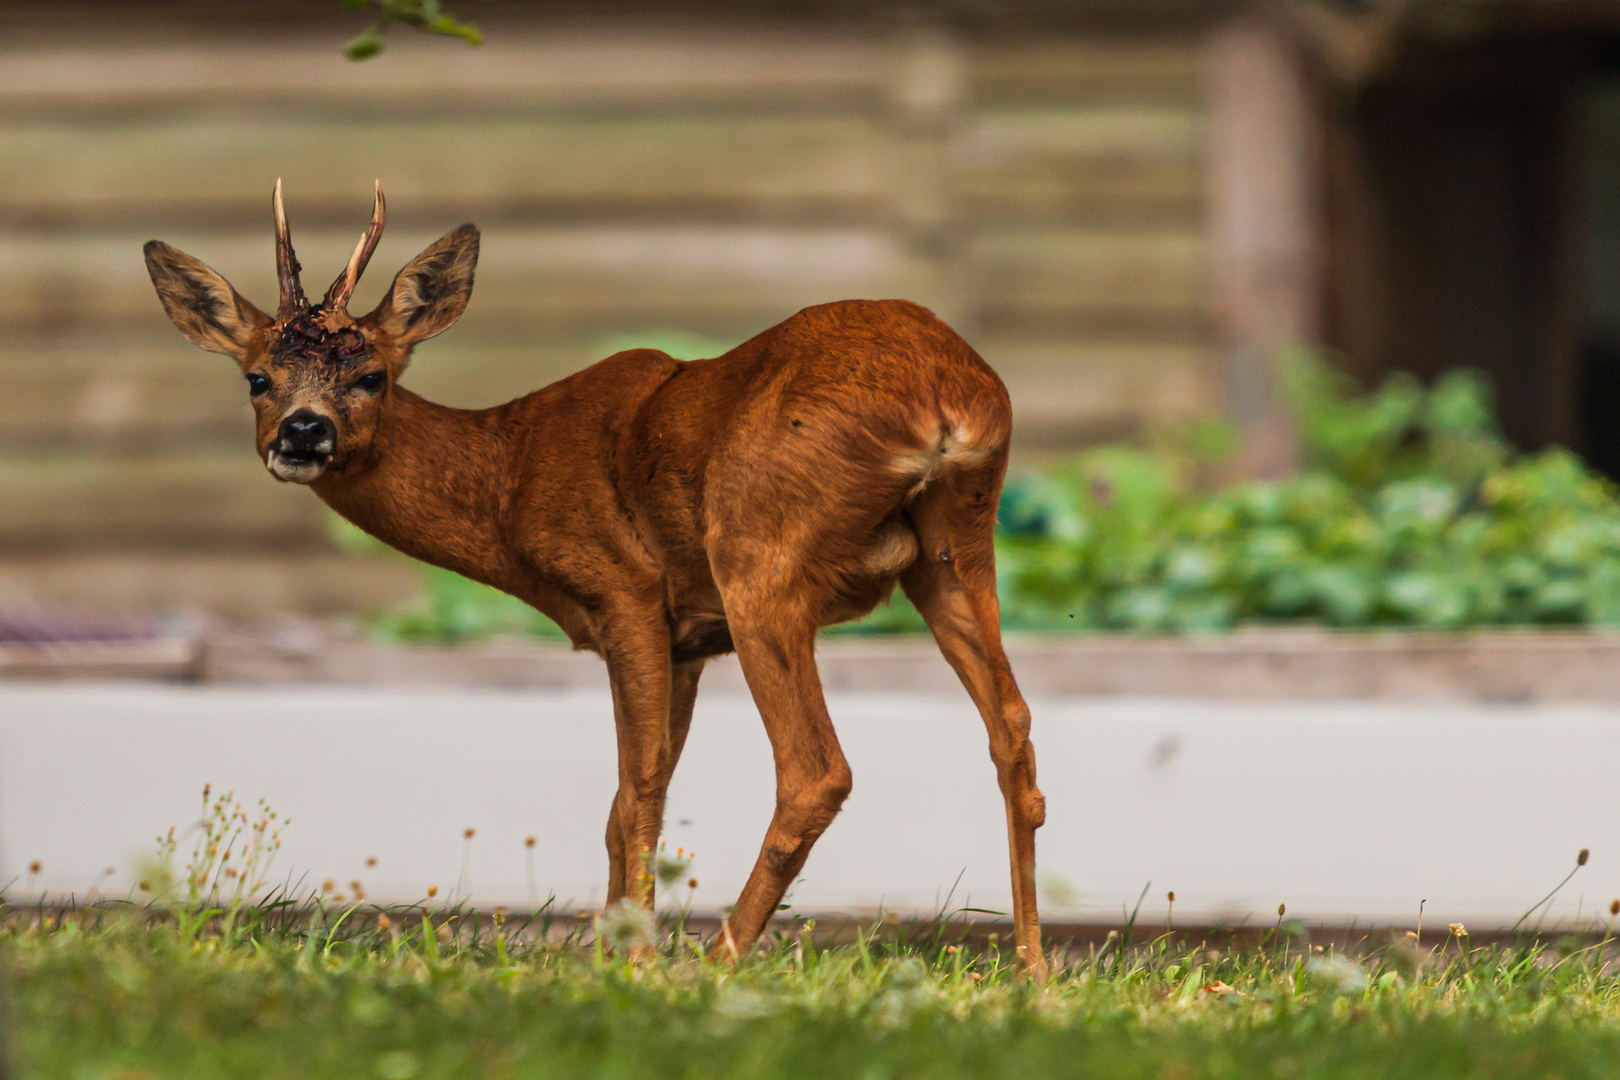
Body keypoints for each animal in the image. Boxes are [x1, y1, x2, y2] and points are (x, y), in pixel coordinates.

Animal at [142, 181, 1049, 977]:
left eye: (372, 377)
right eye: (257, 378)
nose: (304, 432)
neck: (511, 473)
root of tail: (945, 396)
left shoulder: (625, 592)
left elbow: (636, 790)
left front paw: (634, 963)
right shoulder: (691, 640)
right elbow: (631, 800)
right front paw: (610, 952)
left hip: (759, 549)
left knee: (816, 768)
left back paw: (717, 964)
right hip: (958, 544)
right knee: (1012, 728)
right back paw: (1032, 973)